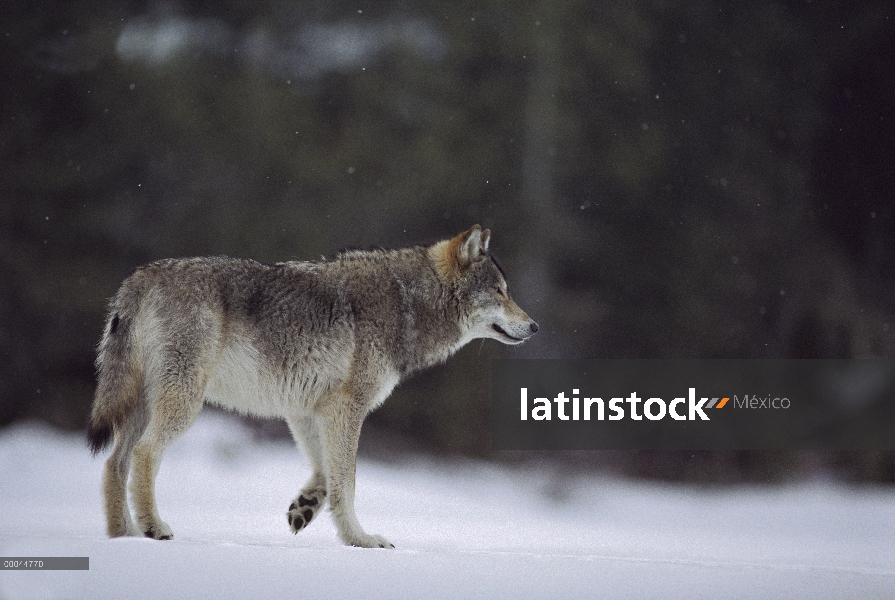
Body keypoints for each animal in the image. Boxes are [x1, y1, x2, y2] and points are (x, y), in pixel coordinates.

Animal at [87, 225, 540, 548]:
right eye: (500, 292)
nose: (535, 326)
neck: (406, 303)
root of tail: (139, 278)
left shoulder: (308, 411)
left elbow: (326, 473)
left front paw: (304, 509)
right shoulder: (347, 408)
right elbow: (348, 483)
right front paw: (360, 540)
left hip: (145, 404)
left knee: (114, 463)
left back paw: (123, 536)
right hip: (184, 403)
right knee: (144, 454)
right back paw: (153, 527)